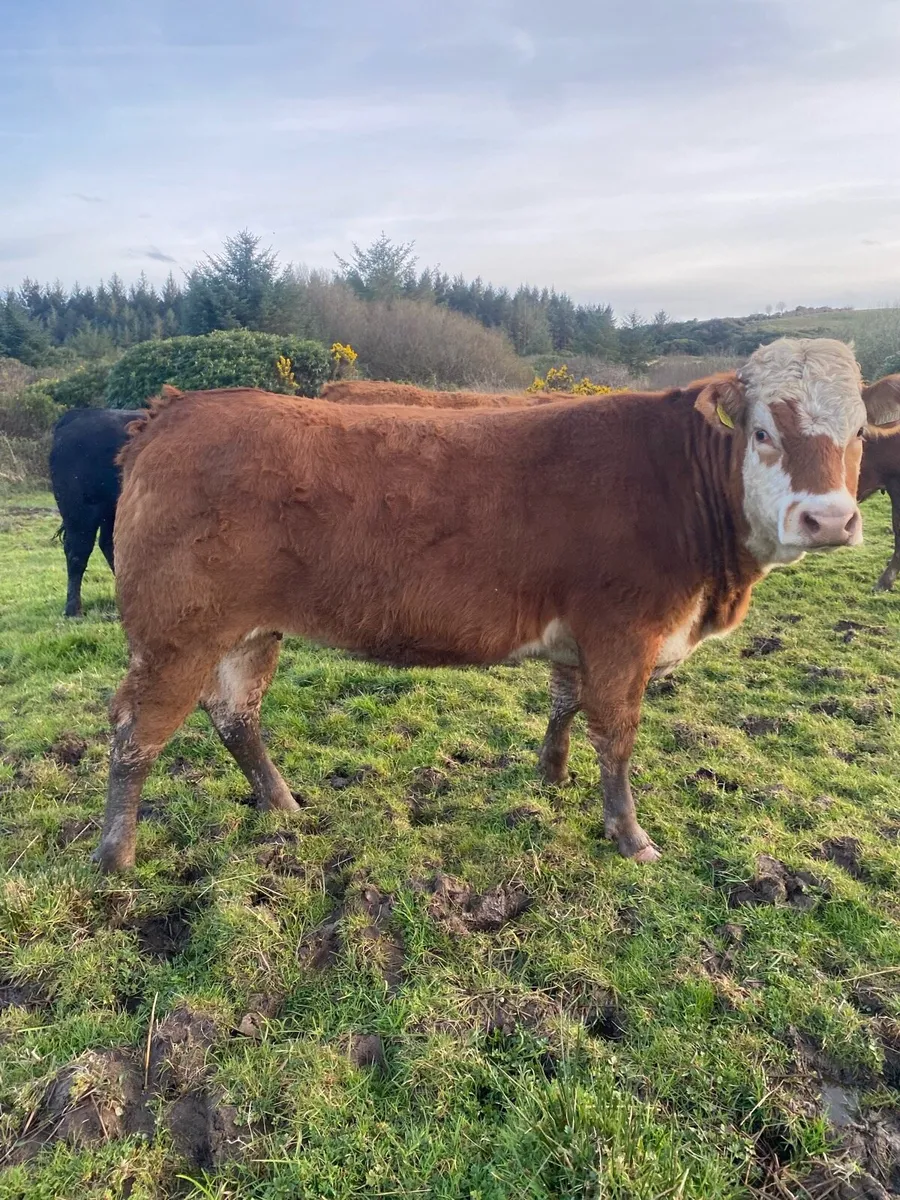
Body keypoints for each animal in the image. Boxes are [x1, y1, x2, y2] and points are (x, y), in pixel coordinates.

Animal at [90, 338, 900, 873]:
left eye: (860, 432)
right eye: (763, 432)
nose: (828, 520)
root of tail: (175, 412)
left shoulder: (580, 635)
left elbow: (566, 704)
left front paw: (551, 776)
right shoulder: (624, 632)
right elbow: (618, 735)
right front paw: (630, 836)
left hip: (249, 631)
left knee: (236, 714)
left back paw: (282, 806)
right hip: (175, 636)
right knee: (138, 733)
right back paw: (115, 857)